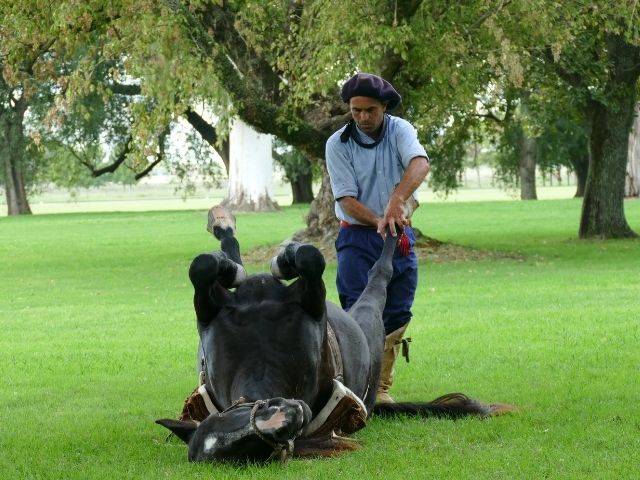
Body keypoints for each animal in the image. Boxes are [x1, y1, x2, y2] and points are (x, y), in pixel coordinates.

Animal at [156, 208, 513, 462]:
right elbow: (312, 259)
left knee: (232, 251)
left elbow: (205, 265)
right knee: (378, 278)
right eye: (267, 447)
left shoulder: (209, 310)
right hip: (368, 323)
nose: (286, 415)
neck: (259, 360)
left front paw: (278, 260)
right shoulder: (314, 302)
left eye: (236, 415)